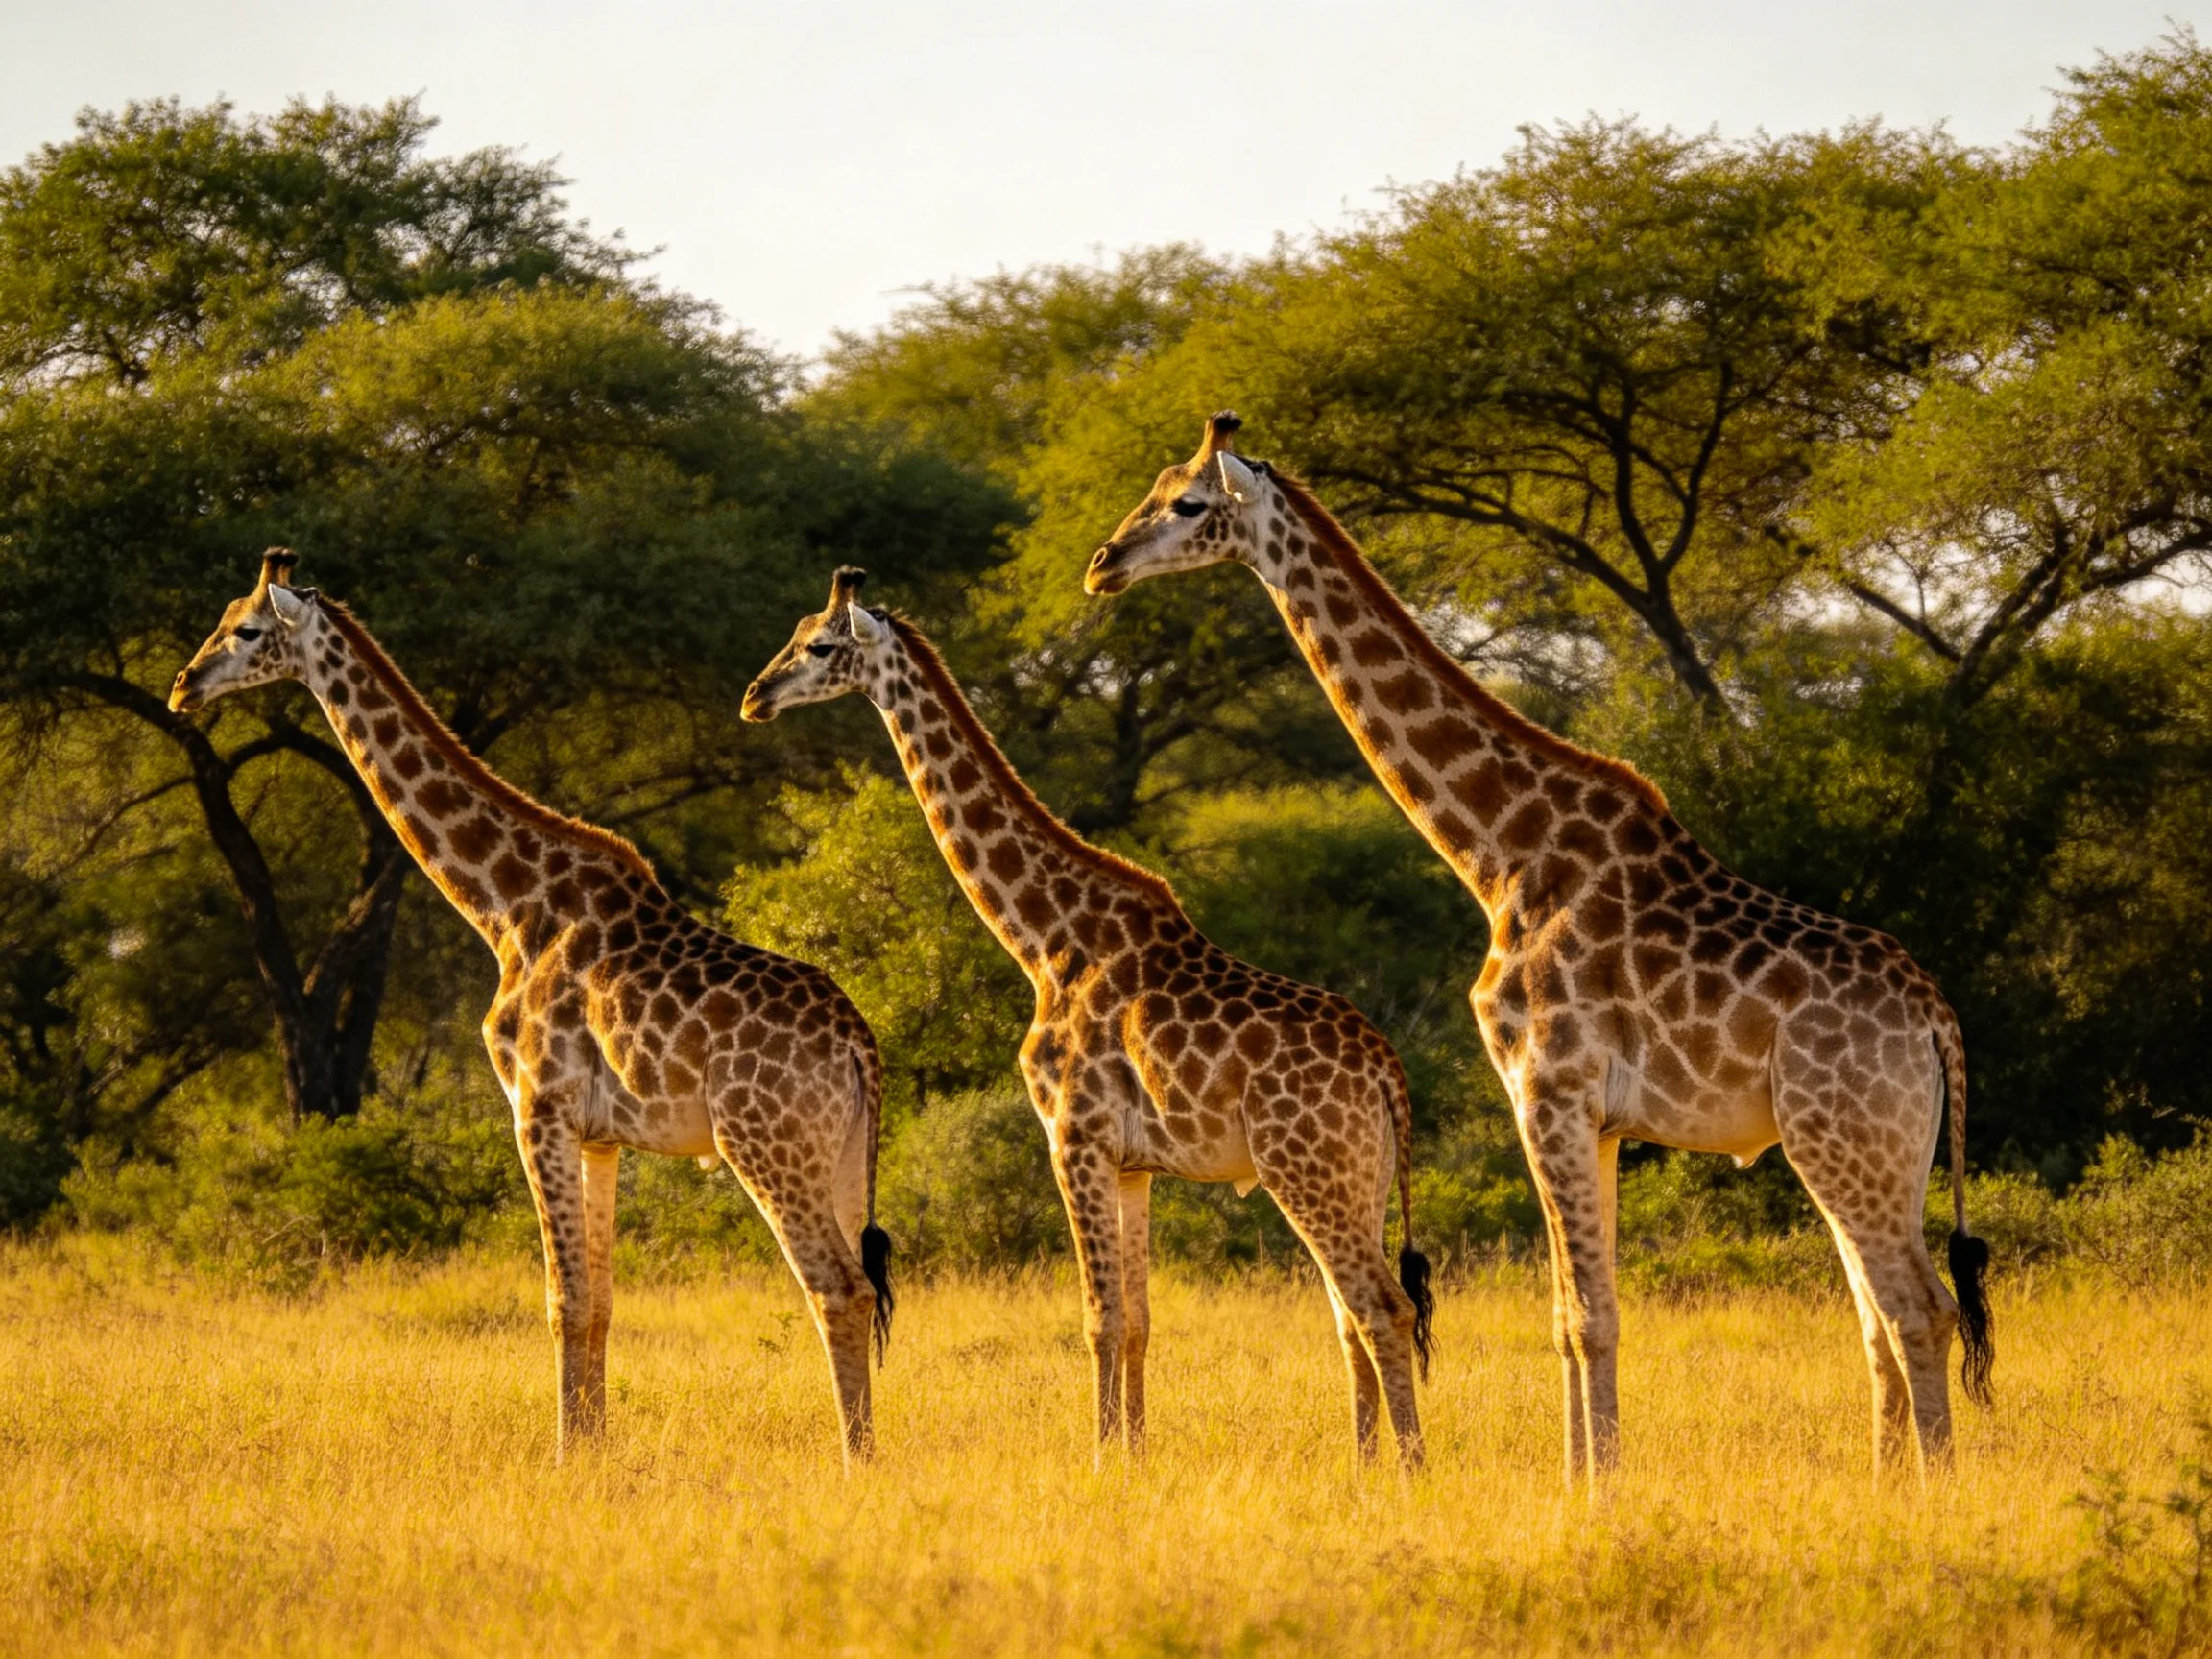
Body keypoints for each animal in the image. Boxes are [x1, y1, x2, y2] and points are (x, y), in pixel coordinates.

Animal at [169, 549, 895, 1464]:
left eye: (246, 629)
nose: (183, 685)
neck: (506, 907)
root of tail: (860, 1046)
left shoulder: (535, 1105)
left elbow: (562, 1300)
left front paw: (563, 1456)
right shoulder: (601, 1136)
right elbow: (602, 1303)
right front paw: (593, 1448)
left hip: (766, 1145)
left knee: (836, 1287)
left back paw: (856, 1460)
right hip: (841, 1157)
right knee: (863, 1285)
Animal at [742, 569, 1436, 1468]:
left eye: (821, 646)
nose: (756, 696)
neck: (1045, 939)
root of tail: (1388, 1074)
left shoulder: (1072, 1137)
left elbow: (1098, 1319)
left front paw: (1103, 1460)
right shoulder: (1134, 1163)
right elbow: (1137, 1322)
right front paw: (1134, 1456)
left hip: (1305, 1169)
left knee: (1383, 1305)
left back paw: (1410, 1471)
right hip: (1362, 1178)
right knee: (1354, 1313)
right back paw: (1363, 1466)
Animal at [1086, 414, 1994, 1487]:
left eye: (1188, 503)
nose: (1103, 564)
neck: (1500, 852)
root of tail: (1937, 1021)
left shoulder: (1544, 1085)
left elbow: (1584, 1317)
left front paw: (1592, 1491)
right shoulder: (1596, 1116)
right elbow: (1575, 1316)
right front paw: (1586, 1479)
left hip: (1841, 1137)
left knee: (1918, 1309)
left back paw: (1930, 1491)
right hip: (1879, 1150)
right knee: (1883, 1316)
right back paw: (1889, 1480)